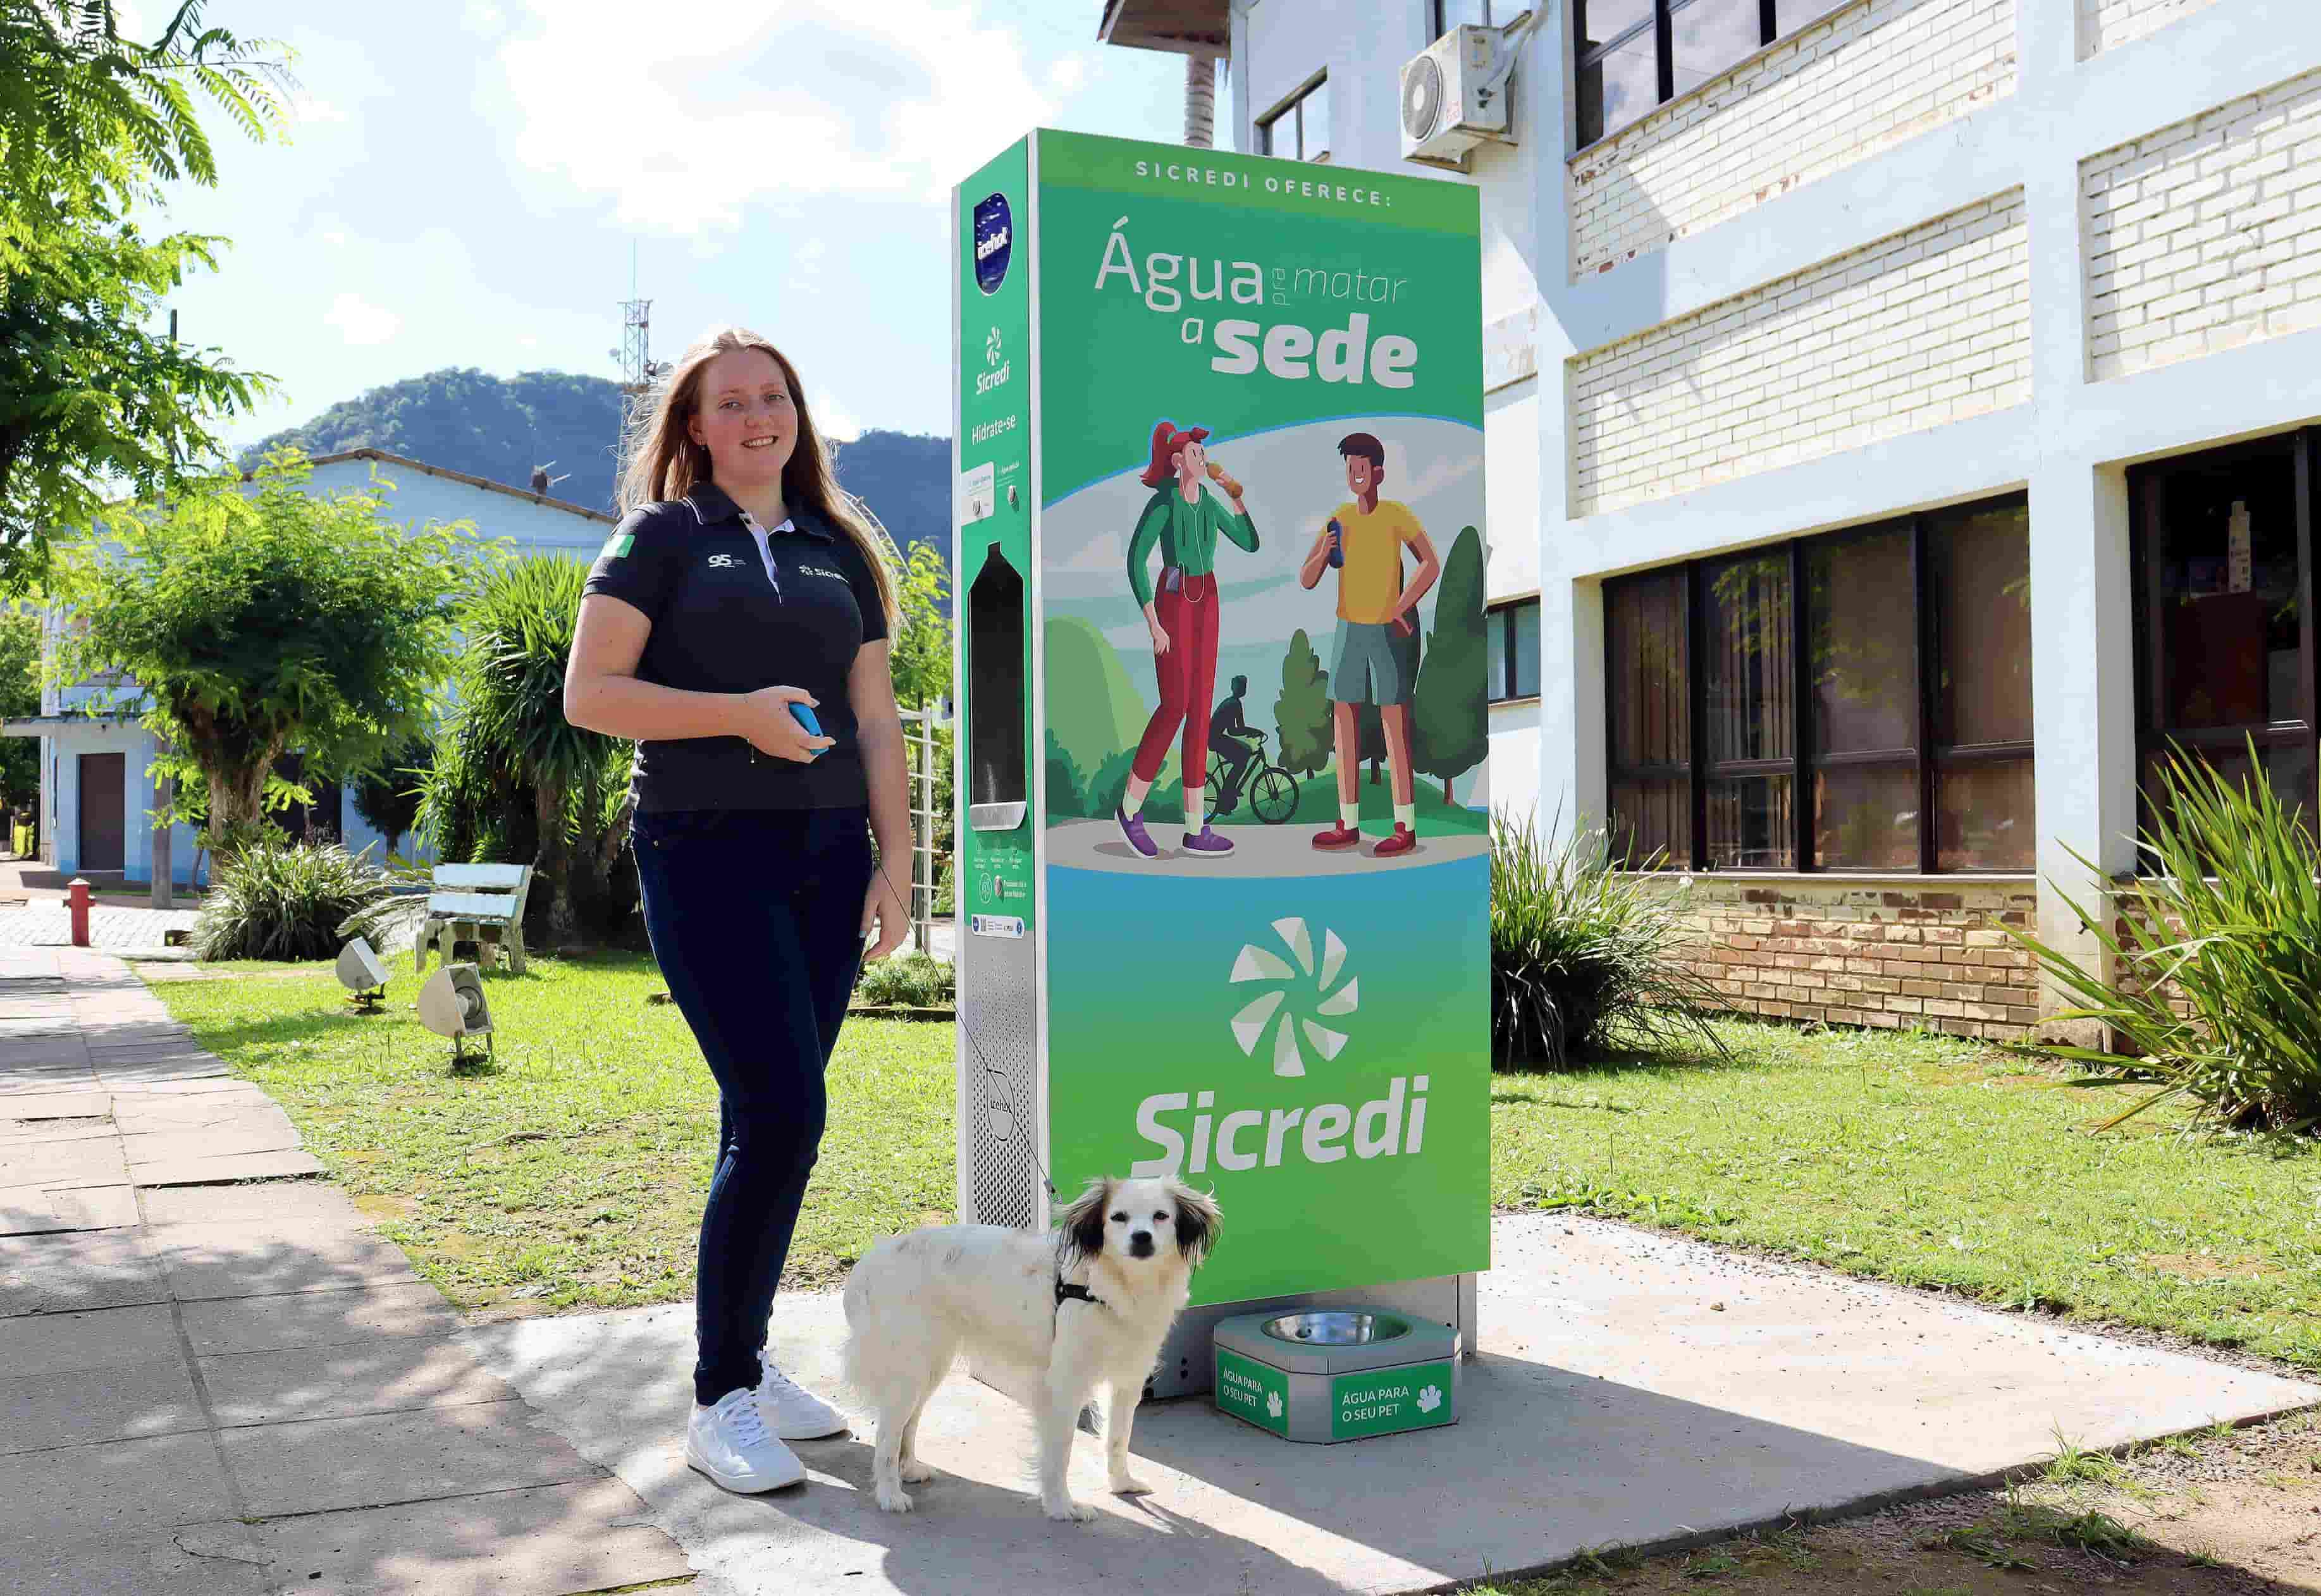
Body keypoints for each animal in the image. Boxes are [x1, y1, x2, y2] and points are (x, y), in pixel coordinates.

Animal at [844, 1174, 1225, 1521]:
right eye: (1119, 1217)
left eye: (1161, 1216)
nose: (1141, 1237)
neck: (1119, 1285)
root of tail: (870, 1262)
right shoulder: (1065, 1386)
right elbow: (1061, 1452)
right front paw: (1061, 1506)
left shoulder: (1126, 1383)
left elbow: (1118, 1439)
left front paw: (1121, 1485)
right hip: (909, 1372)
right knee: (886, 1437)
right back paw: (890, 1495)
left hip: (928, 1369)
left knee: (908, 1425)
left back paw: (909, 1471)